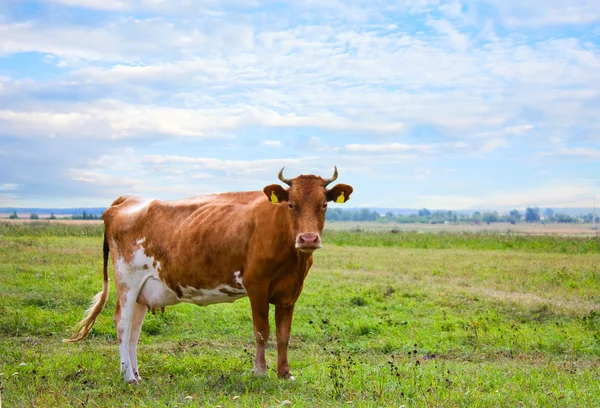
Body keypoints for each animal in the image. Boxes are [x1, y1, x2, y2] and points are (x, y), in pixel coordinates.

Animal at [64, 166, 356, 382]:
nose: (308, 239)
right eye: (291, 205)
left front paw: (285, 374)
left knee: (134, 329)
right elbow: (262, 331)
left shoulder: (289, 292)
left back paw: (136, 373)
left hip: (143, 291)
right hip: (128, 280)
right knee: (122, 324)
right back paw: (128, 377)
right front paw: (260, 372)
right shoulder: (257, 286)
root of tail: (129, 199)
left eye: (324, 205)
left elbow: (284, 334)